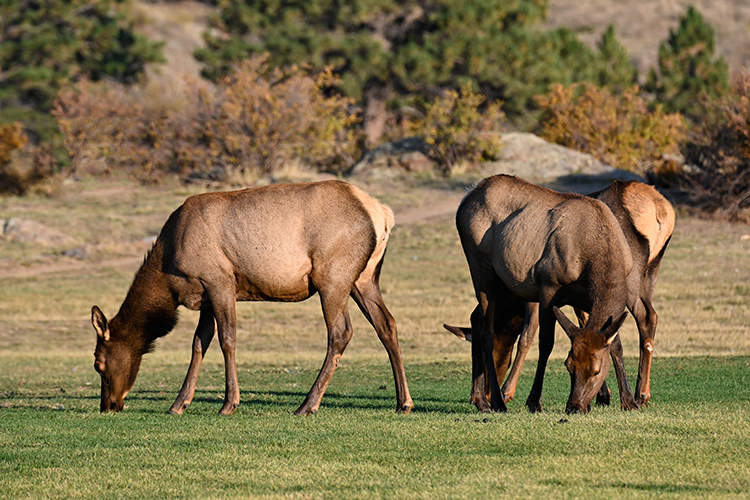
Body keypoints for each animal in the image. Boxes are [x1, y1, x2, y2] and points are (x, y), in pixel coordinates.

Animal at [92, 182, 418, 416]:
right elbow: (199, 343)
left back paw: (307, 405)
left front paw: (229, 404)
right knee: (387, 325)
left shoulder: (219, 281)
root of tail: (381, 213)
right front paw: (178, 404)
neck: (168, 270)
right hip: (364, 278)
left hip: (333, 276)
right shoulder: (206, 297)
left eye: (98, 363)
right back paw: (403, 402)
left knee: (341, 332)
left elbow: (227, 340)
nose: (109, 405)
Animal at [446, 179, 676, 410]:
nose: (574, 406)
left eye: (596, 370)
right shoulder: (546, 288)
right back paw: (491, 401)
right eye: (568, 365)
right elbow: (545, 342)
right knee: (484, 326)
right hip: (481, 267)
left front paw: (624, 400)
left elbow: (611, 343)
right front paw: (533, 400)